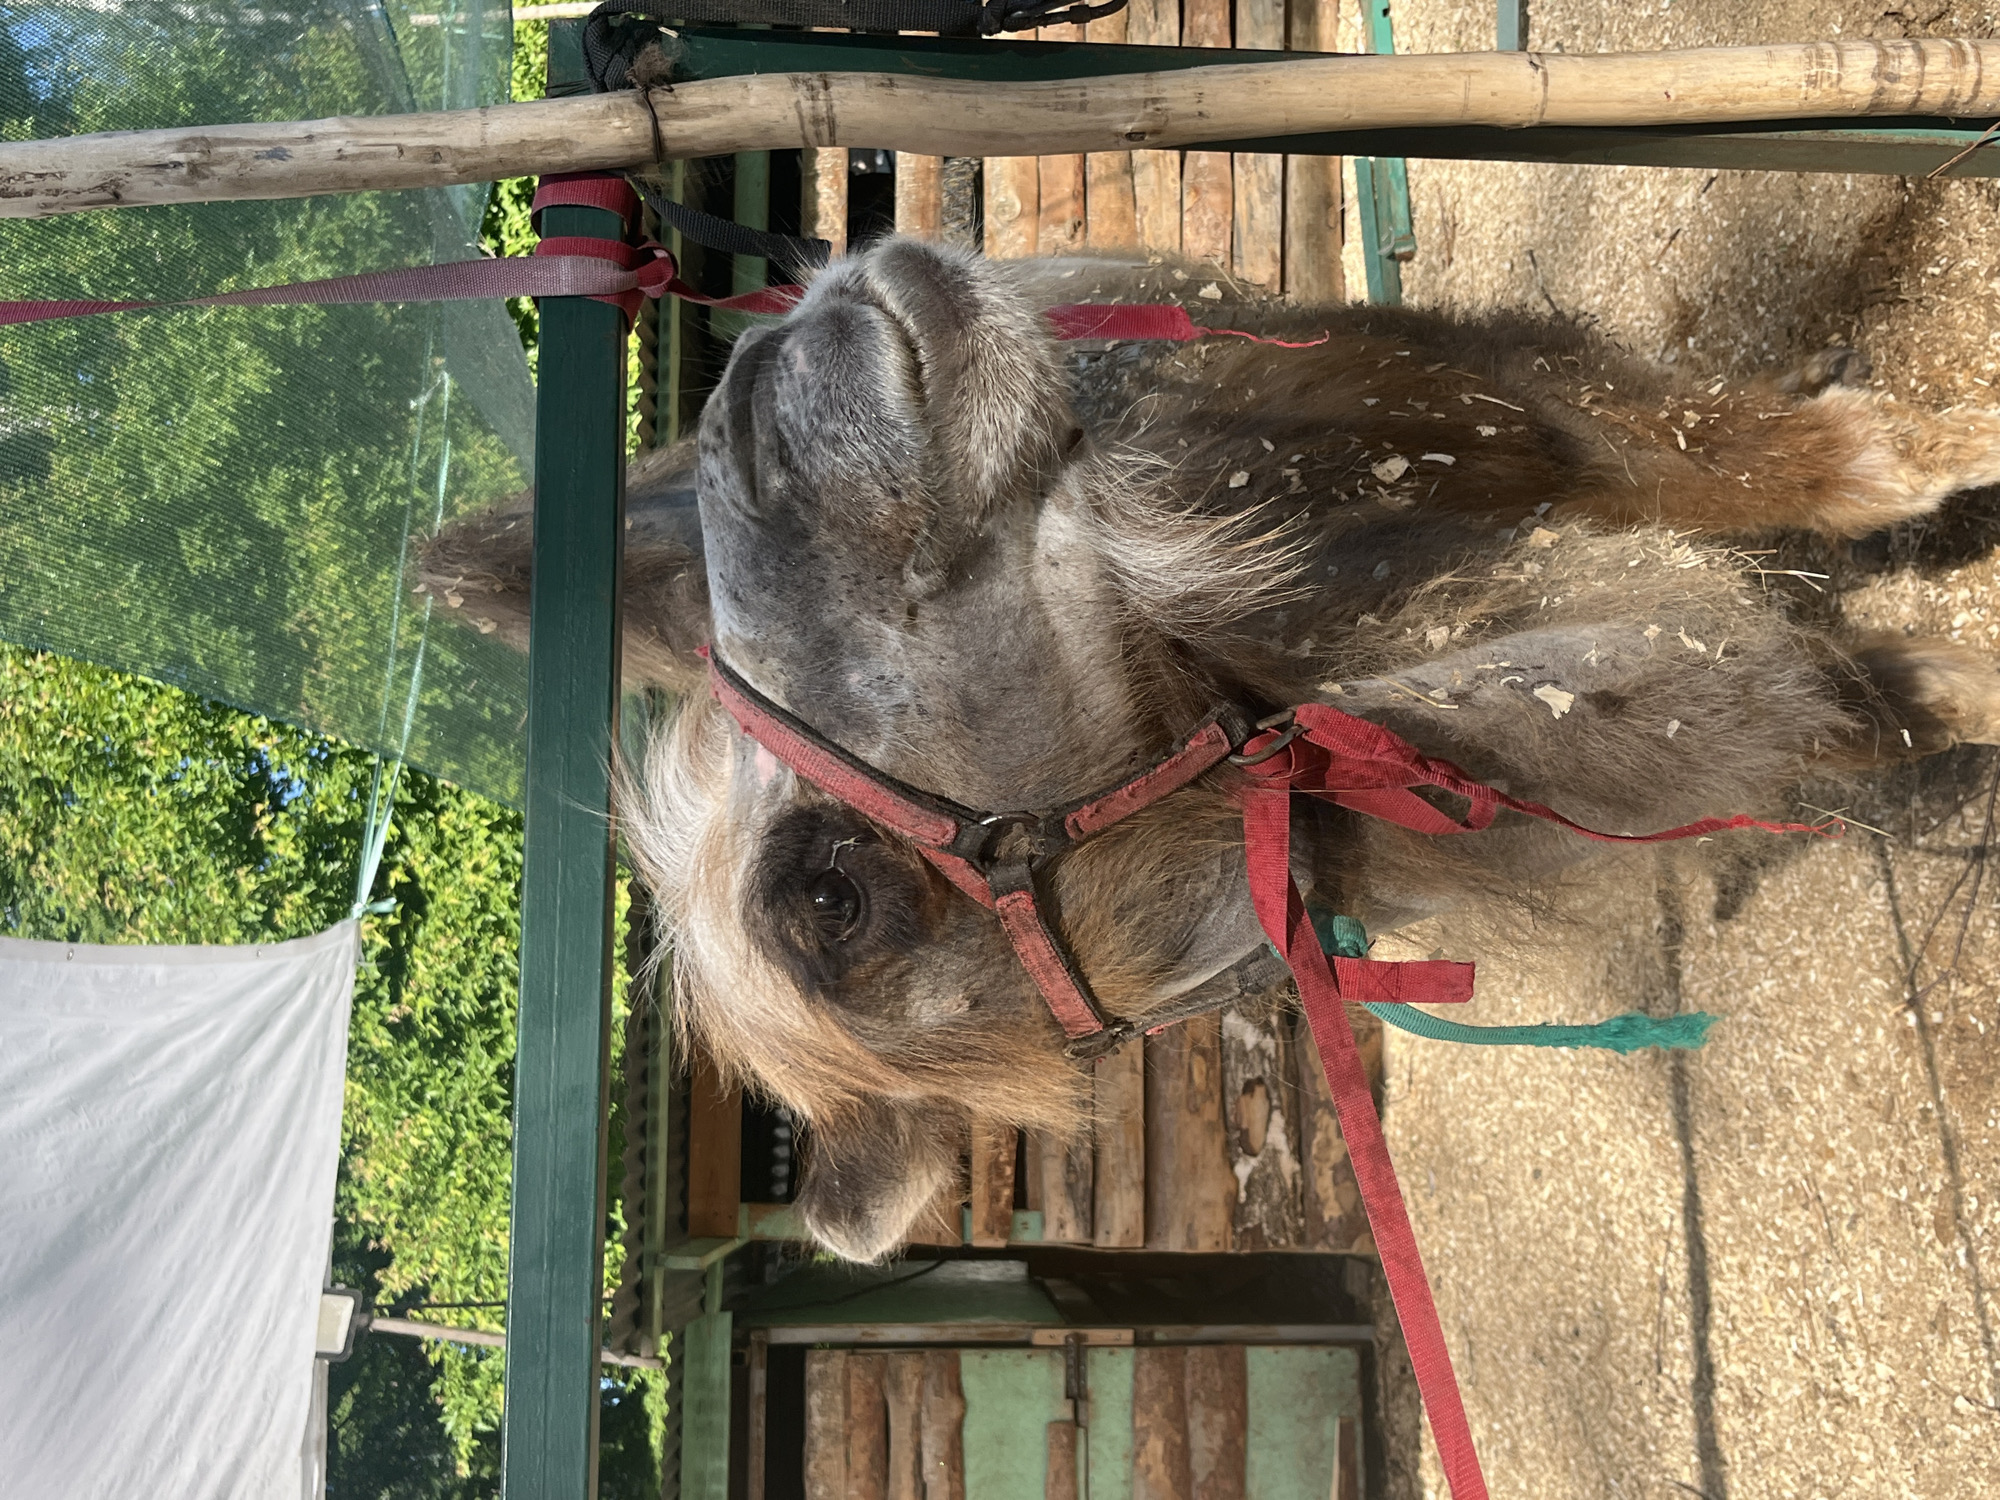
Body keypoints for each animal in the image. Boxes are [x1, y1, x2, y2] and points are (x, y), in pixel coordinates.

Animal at [425, 237, 2000, 1262]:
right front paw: (1950, 681)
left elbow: (1705, 451)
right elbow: (1827, 692)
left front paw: (1929, 459)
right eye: (833, 897)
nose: (755, 397)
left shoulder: (1421, 398)